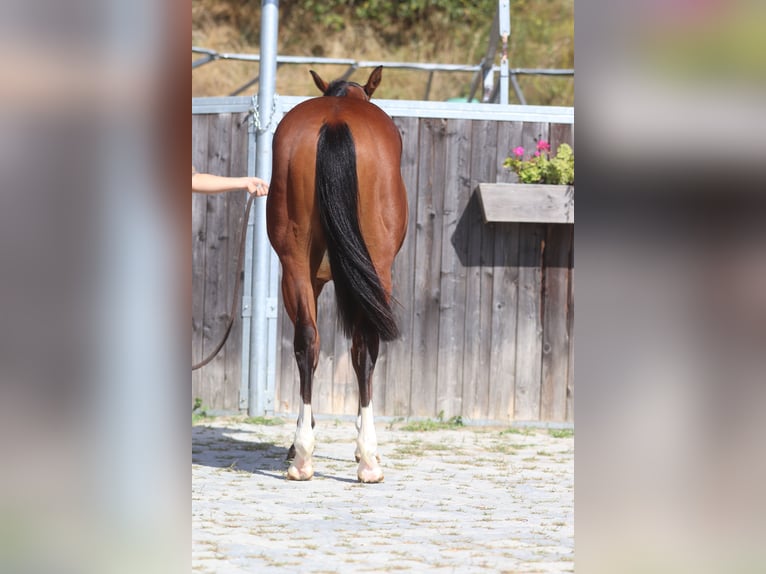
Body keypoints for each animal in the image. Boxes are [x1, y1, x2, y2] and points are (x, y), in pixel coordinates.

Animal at [268, 65, 408, 484]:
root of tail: (334, 122)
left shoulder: (307, 279)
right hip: (377, 266)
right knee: (365, 346)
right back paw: (368, 460)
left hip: (295, 263)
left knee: (307, 341)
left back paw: (302, 460)